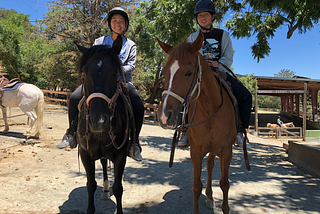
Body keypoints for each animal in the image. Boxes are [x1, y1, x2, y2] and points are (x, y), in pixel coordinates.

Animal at [74, 36, 131, 213]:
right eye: (84, 74)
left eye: (114, 73)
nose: (98, 122)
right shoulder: (85, 155)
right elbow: (91, 185)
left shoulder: (120, 156)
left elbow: (118, 188)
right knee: (104, 164)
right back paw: (105, 189)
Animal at [158, 32, 250, 214]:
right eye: (164, 73)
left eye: (188, 72)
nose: (164, 116)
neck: (210, 109)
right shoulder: (196, 151)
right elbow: (196, 186)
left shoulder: (226, 152)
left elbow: (225, 184)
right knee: (209, 166)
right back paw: (209, 197)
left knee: (210, 165)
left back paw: (210, 198)